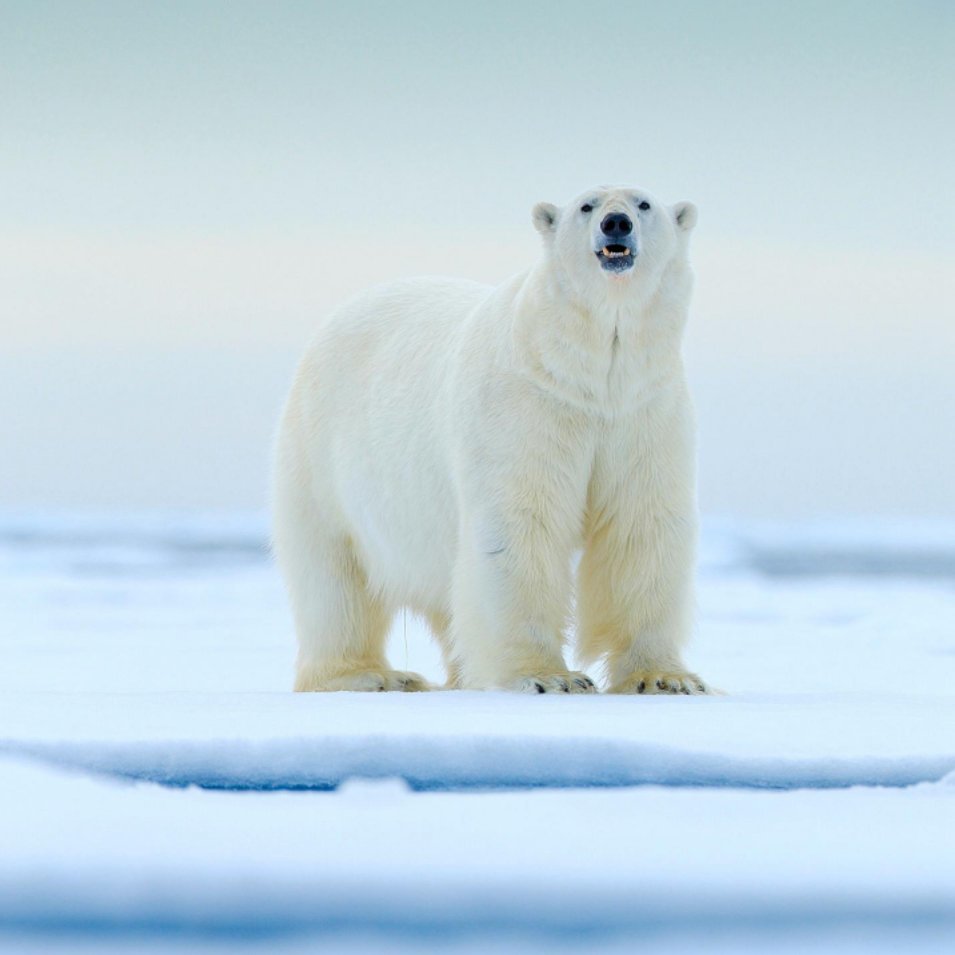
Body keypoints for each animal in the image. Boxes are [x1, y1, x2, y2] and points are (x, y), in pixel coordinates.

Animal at [270, 185, 708, 696]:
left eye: (643, 204)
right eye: (586, 205)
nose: (615, 223)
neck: (589, 374)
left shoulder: (643, 412)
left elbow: (641, 527)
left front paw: (665, 678)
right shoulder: (526, 405)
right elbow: (520, 524)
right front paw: (548, 678)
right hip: (320, 459)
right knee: (333, 579)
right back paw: (373, 675)